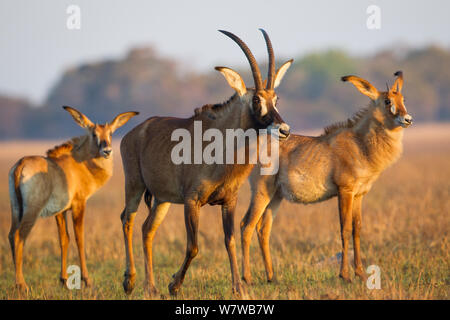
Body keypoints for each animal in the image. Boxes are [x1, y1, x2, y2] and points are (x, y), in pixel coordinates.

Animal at [7, 106, 138, 292]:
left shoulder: (59, 212)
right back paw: (22, 285)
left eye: (111, 133)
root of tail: (20, 166)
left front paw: (63, 280)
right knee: (19, 237)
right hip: (31, 212)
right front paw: (87, 280)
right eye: (94, 134)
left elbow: (64, 239)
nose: (107, 151)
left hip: (16, 210)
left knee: (11, 235)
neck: (80, 164)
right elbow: (79, 238)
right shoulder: (79, 205)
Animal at [119, 28, 294, 298]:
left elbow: (229, 240)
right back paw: (130, 282)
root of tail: (134, 133)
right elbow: (193, 246)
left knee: (147, 229)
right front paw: (174, 285)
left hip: (161, 199)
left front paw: (238, 287)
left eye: (276, 98)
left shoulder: (229, 201)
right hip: (135, 186)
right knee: (127, 221)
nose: (284, 129)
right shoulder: (192, 201)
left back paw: (151, 287)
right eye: (256, 100)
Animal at [241, 70, 414, 282]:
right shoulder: (345, 191)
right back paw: (247, 279)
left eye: (403, 99)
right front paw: (345, 275)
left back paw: (272, 278)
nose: (407, 119)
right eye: (387, 101)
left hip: (275, 196)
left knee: (263, 229)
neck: (360, 144)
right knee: (246, 226)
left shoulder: (359, 195)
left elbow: (357, 229)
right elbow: (345, 229)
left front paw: (359, 273)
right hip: (261, 192)